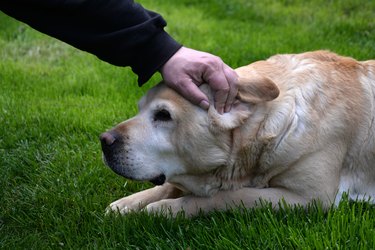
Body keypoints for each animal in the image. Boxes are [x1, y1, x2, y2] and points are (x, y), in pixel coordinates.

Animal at [100, 51, 375, 217]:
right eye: (139, 109)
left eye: (163, 115)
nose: (104, 141)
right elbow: (169, 185)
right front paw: (129, 203)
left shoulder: (310, 198)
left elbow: (230, 195)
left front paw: (164, 209)